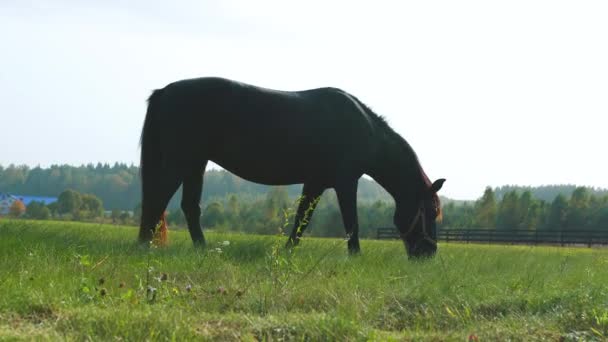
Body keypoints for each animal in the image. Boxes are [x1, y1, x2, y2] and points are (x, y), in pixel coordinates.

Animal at [138, 77, 444, 258]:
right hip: (181, 162)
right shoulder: (346, 182)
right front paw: (355, 255)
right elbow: (351, 221)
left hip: (195, 164)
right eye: (429, 211)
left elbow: (301, 220)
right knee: (157, 199)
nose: (428, 253)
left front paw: (288, 250)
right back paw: (145, 245)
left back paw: (200, 248)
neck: (363, 129)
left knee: (189, 207)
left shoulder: (316, 182)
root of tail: (164, 92)